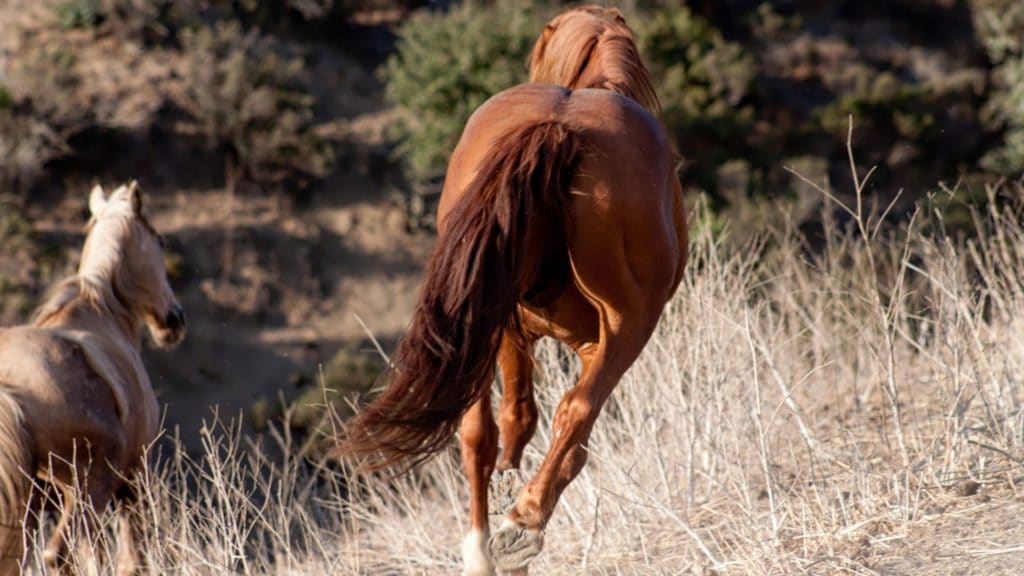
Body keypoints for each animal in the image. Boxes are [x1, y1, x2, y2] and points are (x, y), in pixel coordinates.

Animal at [0, 181, 185, 569]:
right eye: (160, 241)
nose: (175, 318)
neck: (103, 311)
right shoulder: (133, 480)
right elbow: (132, 561)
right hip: (88, 488)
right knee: (57, 555)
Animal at [339, 5, 684, 573]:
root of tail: (559, 128)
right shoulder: (581, 340)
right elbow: (558, 430)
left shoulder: (514, 330)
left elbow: (516, 421)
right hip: (628, 323)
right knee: (573, 411)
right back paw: (523, 523)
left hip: (483, 314)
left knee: (478, 428)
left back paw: (487, 542)